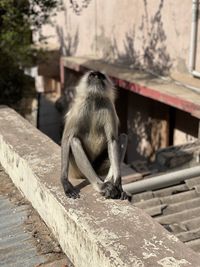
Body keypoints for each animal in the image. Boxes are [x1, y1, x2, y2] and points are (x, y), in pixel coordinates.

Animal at [60, 71, 130, 201]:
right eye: (93, 75)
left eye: (101, 76)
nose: (97, 77)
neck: (94, 99)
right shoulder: (79, 107)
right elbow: (66, 139)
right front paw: (65, 182)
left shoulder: (108, 105)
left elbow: (112, 140)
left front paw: (118, 183)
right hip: (76, 170)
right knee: (74, 140)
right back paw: (101, 186)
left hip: (99, 168)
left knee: (122, 137)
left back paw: (110, 183)